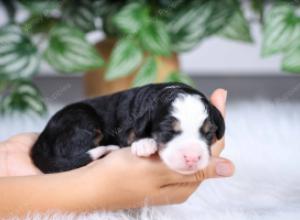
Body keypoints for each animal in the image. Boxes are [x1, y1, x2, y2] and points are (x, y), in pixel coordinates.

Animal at [31, 82, 225, 174]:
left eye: (208, 134)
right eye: (167, 131)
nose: (192, 158)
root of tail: (41, 139)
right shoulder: (126, 130)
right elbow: (134, 135)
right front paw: (144, 144)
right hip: (83, 119)